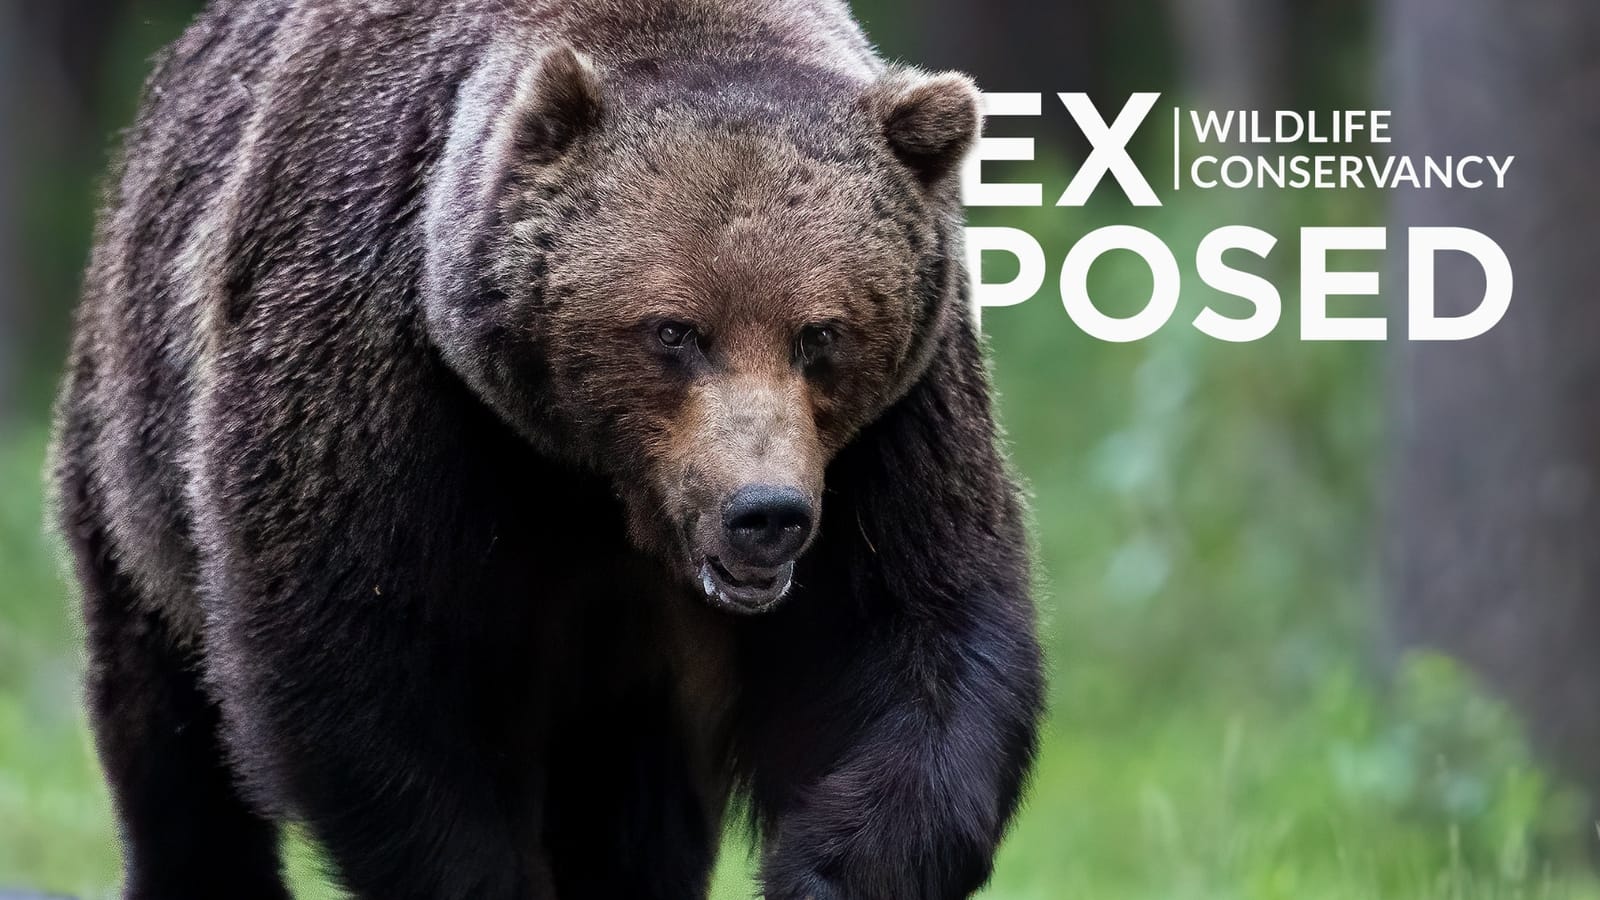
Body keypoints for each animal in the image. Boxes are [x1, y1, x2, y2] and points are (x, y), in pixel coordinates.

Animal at [49, 1, 1045, 898]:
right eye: (673, 330)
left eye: (821, 334)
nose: (766, 515)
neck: (591, 482)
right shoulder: (382, 380)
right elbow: (363, 661)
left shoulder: (895, 432)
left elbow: (912, 634)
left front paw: (828, 870)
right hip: (136, 445)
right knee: (167, 723)